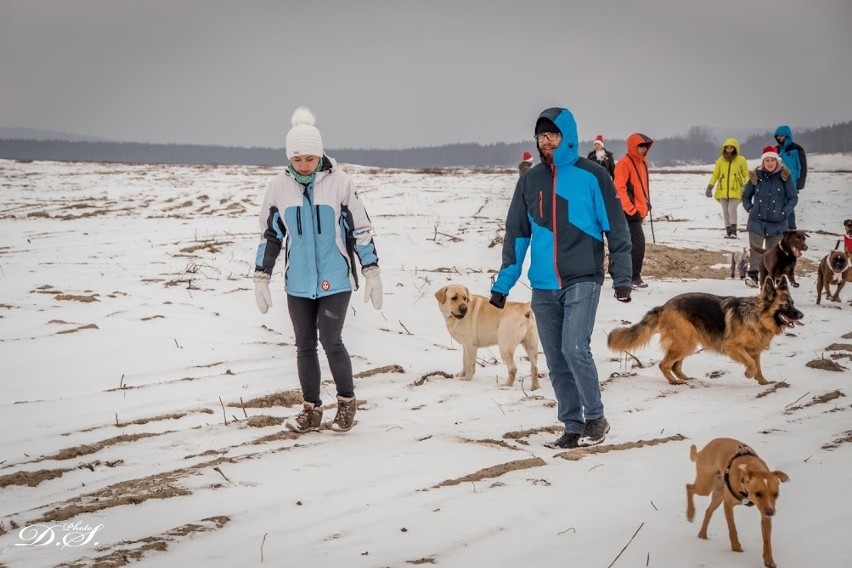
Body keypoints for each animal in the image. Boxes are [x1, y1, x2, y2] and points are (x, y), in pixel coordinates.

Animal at [604, 276, 804, 386]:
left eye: (793, 303)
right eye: (786, 306)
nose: (801, 314)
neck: (758, 315)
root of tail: (664, 306)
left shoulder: (755, 351)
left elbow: (759, 367)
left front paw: (763, 382)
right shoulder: (733, 347)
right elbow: (751, 365)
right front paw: (749, 374)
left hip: (687, 343)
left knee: (675, 365)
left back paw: (686, 379)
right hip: (686, 342)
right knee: (664, 364)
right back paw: (675, 382)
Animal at [684, 440, 792, 568]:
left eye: (776, 494)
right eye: (758, 493)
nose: (771, 512)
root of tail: (703, 450)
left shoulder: (765, 515)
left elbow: (767, 540)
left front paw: (769, 560)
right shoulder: (728, 505)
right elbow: (732, 528)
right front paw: (736, 549)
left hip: (718, 494)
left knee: (708, 510)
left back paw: (702, 534)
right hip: (705, 486)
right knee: (689, 487)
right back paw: (690, 513)